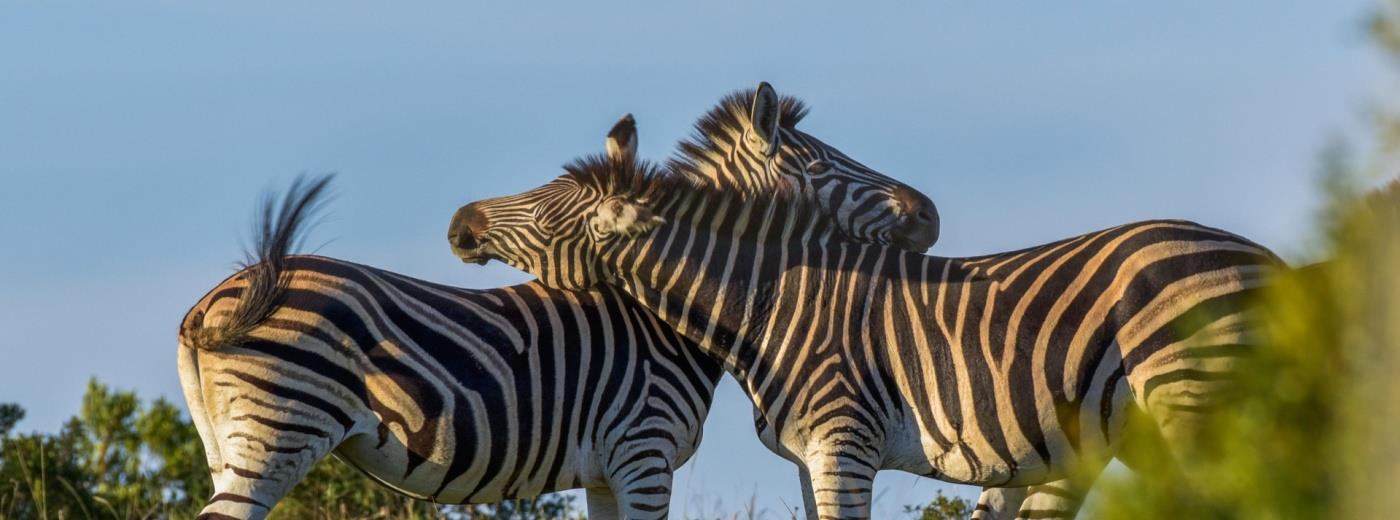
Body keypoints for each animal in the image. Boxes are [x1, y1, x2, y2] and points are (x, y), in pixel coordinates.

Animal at [177, 83, 940, 518]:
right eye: (825, 164)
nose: (930, 213)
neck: (661, 319)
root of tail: (210, 304)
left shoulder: (606, 474)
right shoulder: (643, 453)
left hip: (229, 440)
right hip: (282, 426)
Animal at [453, 148, 1282, 518]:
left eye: (549, 205)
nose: (461, 222)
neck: (773, 302)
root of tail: (1269, 262)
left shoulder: (843, 445)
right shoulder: (806, 455)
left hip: (1197, 405)